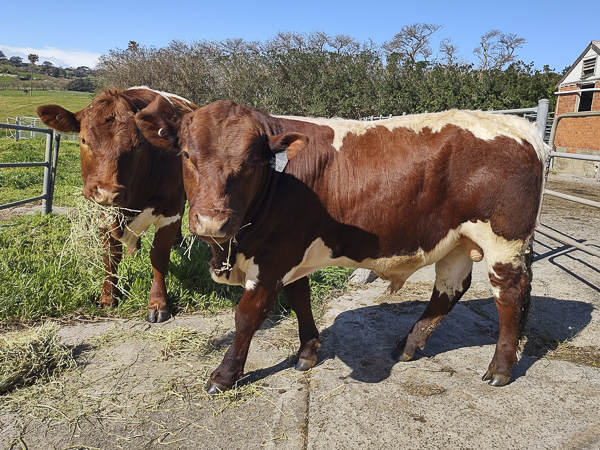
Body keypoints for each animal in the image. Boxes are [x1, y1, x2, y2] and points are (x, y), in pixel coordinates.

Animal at [37, 87, 197, 320]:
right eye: (83, 140)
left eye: (139, 144)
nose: (107, 192)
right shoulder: (104, 214)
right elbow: (110, 258)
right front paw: (108, 296)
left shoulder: (170, 208)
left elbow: (159, 256)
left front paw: (158, 303)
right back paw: (133, 253)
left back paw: (178, 243)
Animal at [137, 100, 548, 392]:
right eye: (186, 155)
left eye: (252, 162)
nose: (212, 222)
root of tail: (522, 128)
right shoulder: (294, 252)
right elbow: (300, 298)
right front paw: (307, 353)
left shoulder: (272, 259)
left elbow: (247, 317)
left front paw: (224, 375)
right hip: (458, 241)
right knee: (450, 289)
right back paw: (408, 345)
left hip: (503, 241)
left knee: (509, 295)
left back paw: (500, 368)